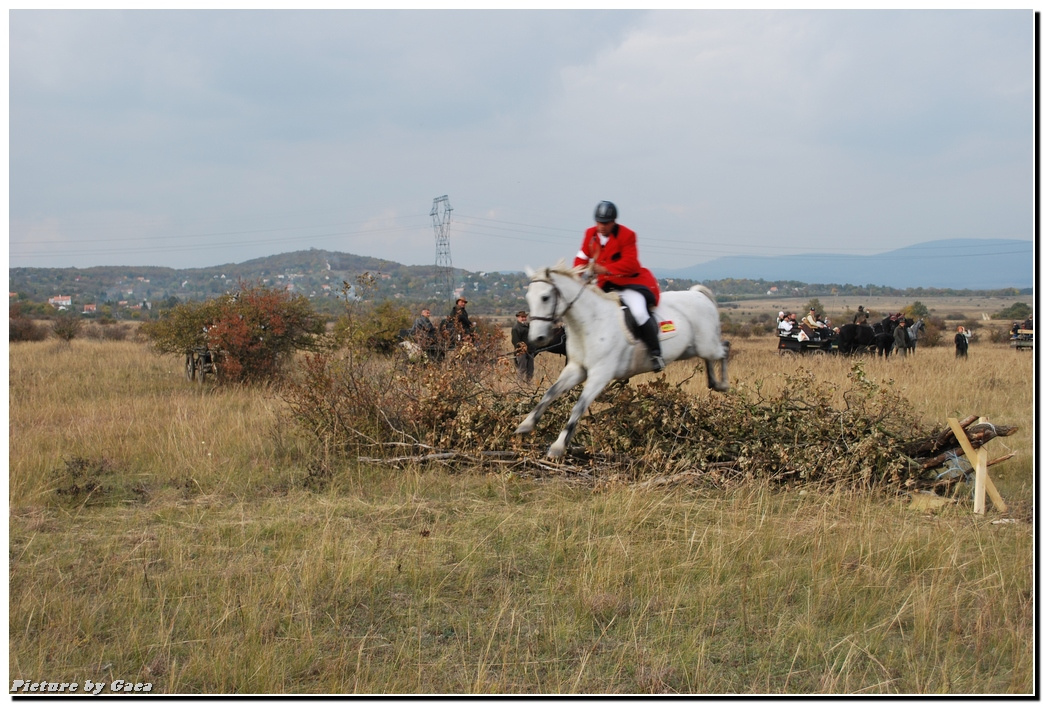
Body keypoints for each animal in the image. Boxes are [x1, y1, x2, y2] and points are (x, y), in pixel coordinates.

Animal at [517, 262, 730, 456]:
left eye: (545, 297)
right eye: (528, 298)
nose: (536, 338)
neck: (589, 323)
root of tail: (699, 295)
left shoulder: (600, 375)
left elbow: (579, 407)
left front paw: (558, 446)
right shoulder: (576, 369)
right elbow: (550, 393)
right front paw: (526, 424)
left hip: (707, 345)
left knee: (725, 349)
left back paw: (722, 384)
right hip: (691, 349)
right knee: (714, 355)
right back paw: (714, 382)